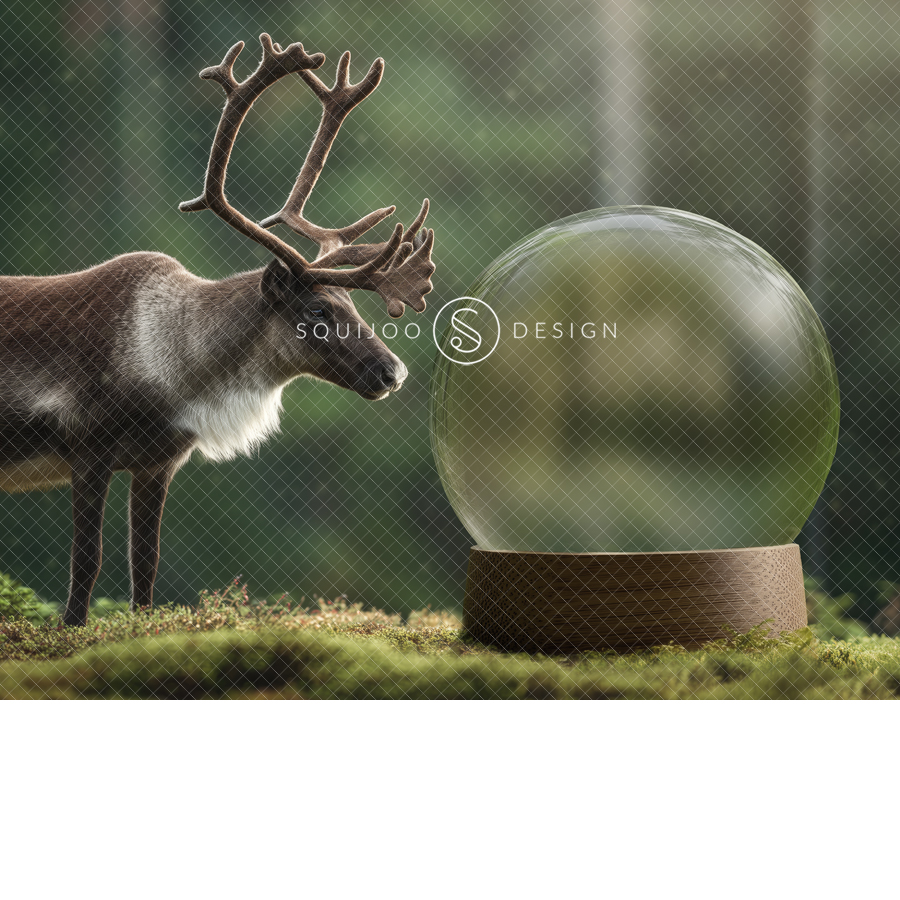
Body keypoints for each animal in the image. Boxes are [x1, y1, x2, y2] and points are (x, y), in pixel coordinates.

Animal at [0, 35, 435, 627]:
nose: (393, 371)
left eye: (352, 304)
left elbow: (146, 565)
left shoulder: (158, 461)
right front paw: (72, 627)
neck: (177, 366)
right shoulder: (87, 446)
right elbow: (87, 563)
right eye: (318, 311)